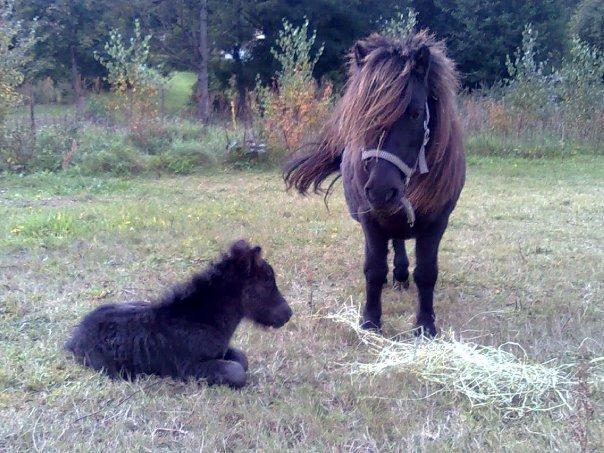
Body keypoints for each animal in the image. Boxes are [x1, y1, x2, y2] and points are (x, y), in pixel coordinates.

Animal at [65, 240, 292, 388]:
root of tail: (72, 339)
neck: (204, 319)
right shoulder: (188, 368)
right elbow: (236, 372)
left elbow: (241, 358)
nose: (288, 314)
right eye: (267, 284)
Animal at [286, 31, 464, 334]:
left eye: (416, 113)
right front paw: (370, 321)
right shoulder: (370, 220)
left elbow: (427, 272)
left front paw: (425, 326)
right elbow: (374, 270)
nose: (381, 191)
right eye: (362, 114)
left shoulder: (437, 222)